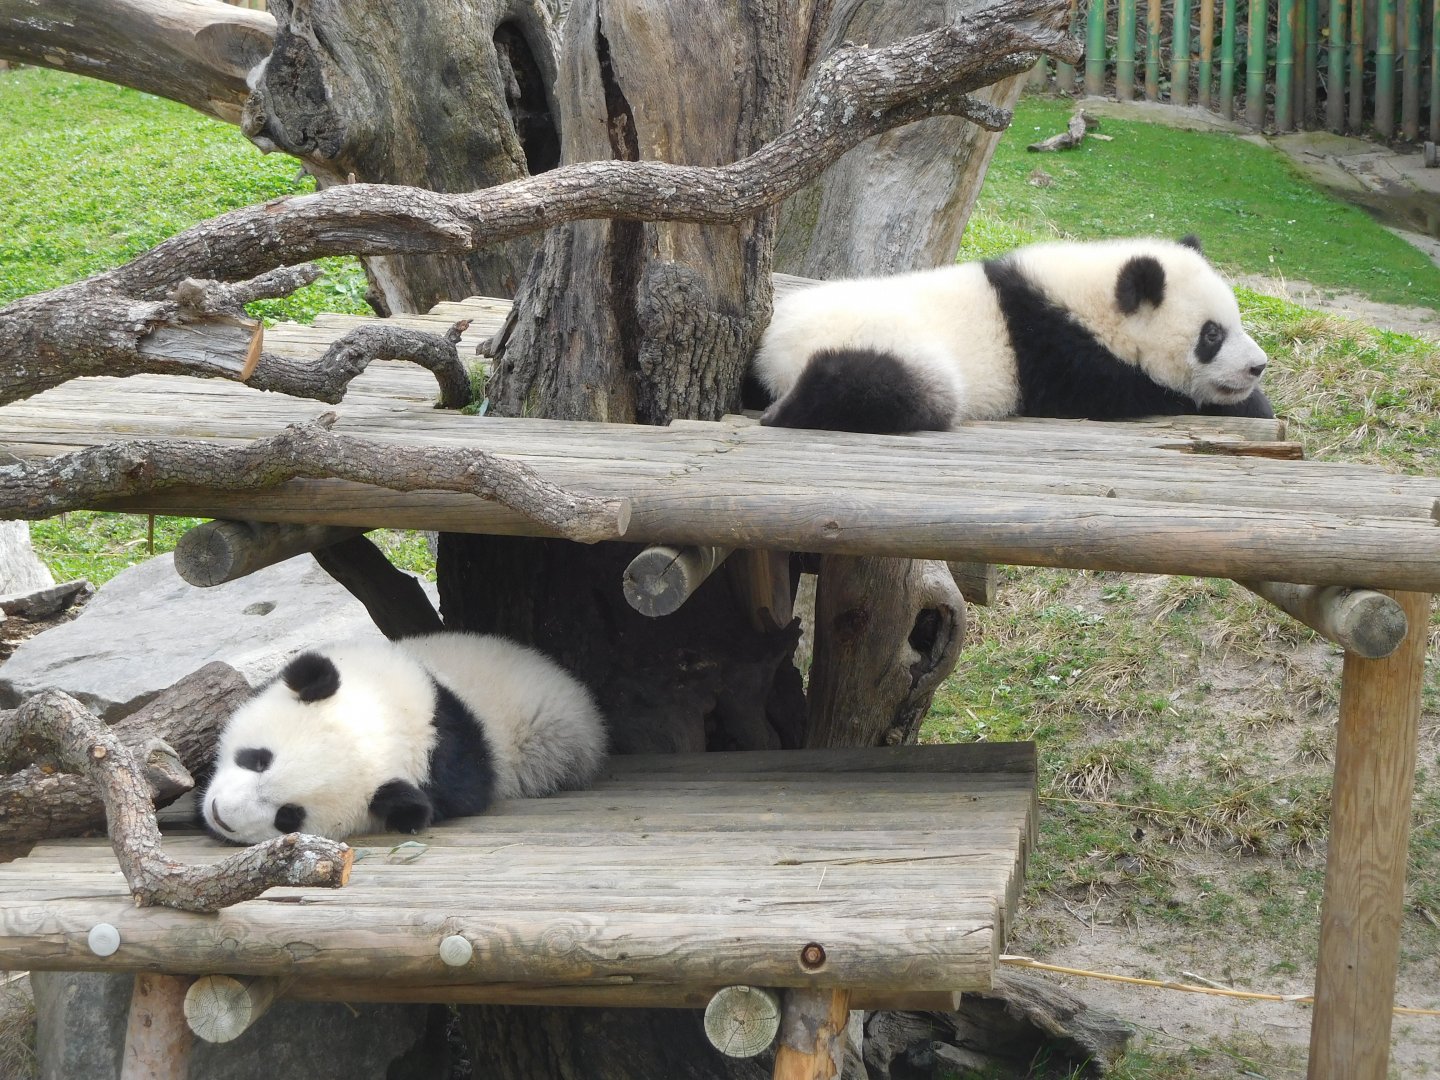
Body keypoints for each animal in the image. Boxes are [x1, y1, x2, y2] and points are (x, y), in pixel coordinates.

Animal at [200, 631, 607, 844]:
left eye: (289, 817)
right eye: (258, 758)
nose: (222, 815)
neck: (397, 717)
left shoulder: (452, 776)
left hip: (553, 744)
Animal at [752, 235, 1273, 433]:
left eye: (1236, 321)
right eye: (1211, 335)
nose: (1257, 366)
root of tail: (774, 357)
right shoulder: (1062, 354)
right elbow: (1138, 394)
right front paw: (1252, 405)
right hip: (893, 341)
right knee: (897, 388)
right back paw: (793, 406)